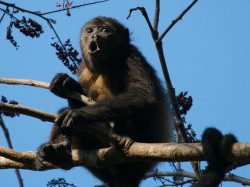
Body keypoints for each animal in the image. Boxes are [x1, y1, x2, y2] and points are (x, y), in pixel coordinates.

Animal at [33, 16, 174, 186]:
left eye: (105, 30)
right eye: (89, 30)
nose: (95, 36)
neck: (105, 66)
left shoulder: (132, 55)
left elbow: (144, 94)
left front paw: (80, 114)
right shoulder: (84, 70)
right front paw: (67, 82)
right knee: (64, 119)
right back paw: (58, 155)